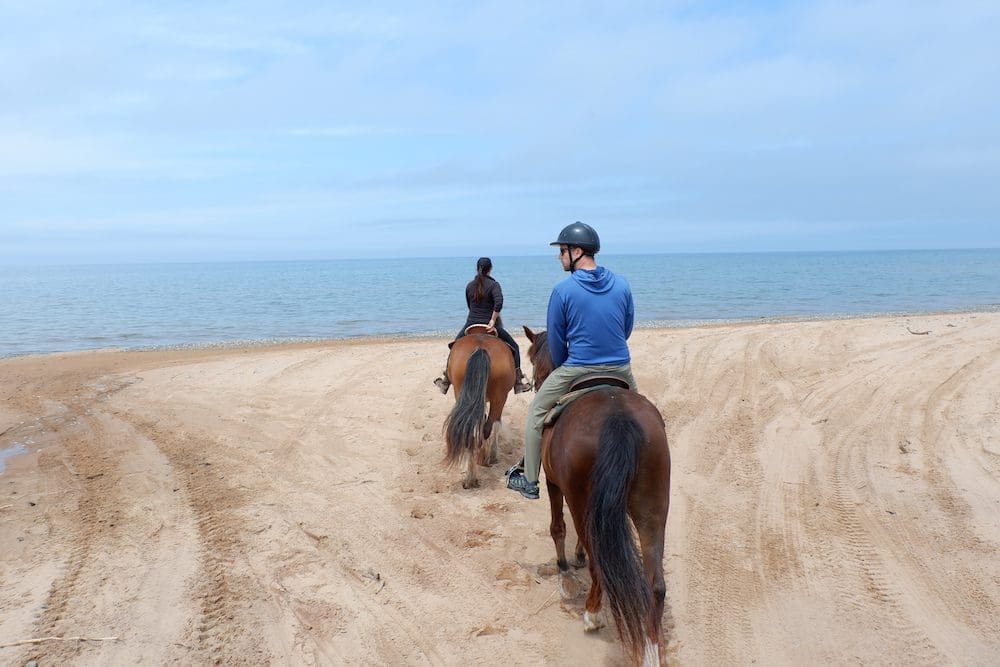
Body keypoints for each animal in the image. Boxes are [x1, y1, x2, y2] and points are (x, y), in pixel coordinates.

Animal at [442, 330, 516, 490]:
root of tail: (480, 348)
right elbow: (494, 424)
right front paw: (491, 455)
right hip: (499, 397)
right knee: (489, 426)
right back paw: (483, 462)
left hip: (461, 392)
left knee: (472, 428)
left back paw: (470, 477)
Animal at [524, 326, 672, 664]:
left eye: (533, 358)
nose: (533, 382)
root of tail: (618, 417)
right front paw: (577, 557)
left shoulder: (554, 483)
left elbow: (558, 527)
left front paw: (565, 571)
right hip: (653, 506)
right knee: (656, 585)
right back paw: (650, 650)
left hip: (581, 496)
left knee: (598, 563)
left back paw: (592, 614)